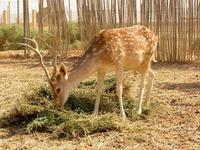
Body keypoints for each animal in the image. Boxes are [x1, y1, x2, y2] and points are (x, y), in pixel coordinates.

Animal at [20, 25, 158, 120]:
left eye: (58, 89)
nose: (57, 106)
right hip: (138, 64)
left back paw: (139, 109)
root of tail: (155, 35)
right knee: (152, 74)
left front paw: (122, 115)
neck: (99, 55)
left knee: (142, 83)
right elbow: (98, 89)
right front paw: (94, 113)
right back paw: (146, 104)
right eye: (50, 88)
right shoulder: (101, 69)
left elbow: (119, 89)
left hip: (147, 58)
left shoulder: (119, 63)